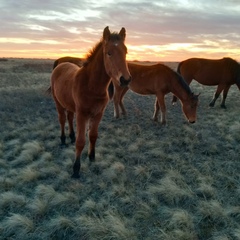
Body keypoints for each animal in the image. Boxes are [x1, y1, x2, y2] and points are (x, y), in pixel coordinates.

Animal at [49, 27, 131, 178]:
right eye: (108, 52)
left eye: (126, 51)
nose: (125, 80)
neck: (91, 85)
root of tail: (61, 64)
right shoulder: (82, 114)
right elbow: (81, 141)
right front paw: (76, 169)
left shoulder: (98, 114)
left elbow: (93, 136)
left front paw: (91, 157)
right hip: (58, 102)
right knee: (62, 119)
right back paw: (63, 140)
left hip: (70, 105)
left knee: (69, 117)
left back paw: (71, 136)